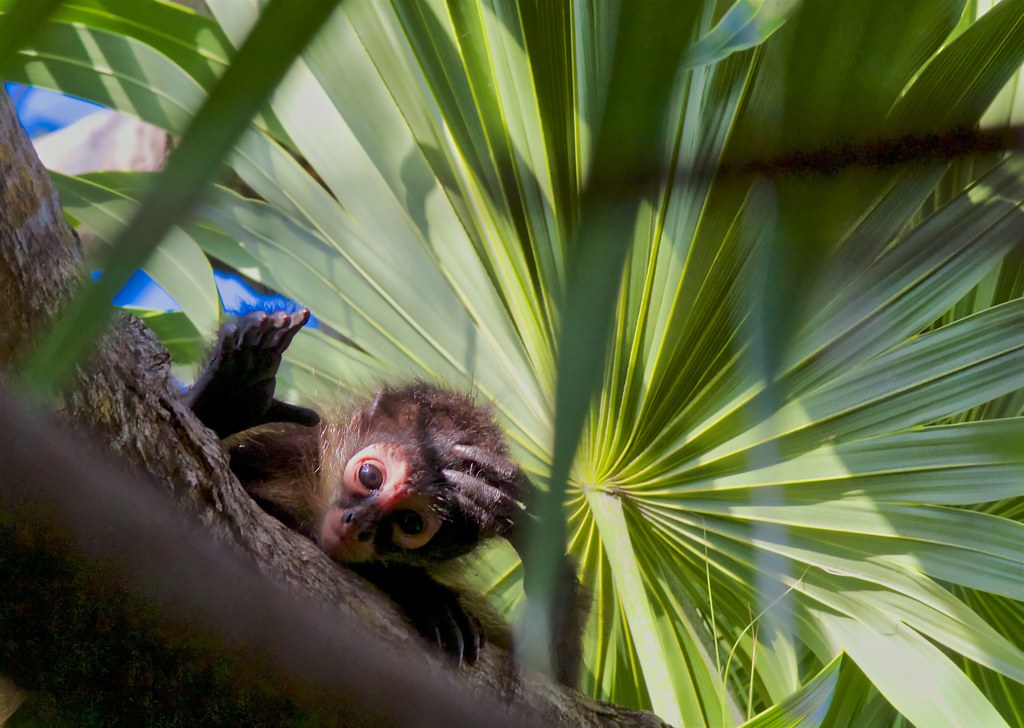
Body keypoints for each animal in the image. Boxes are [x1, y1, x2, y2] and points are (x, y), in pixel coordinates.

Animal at [184, 309, 583, 684]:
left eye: (410, 522)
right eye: (370, 476)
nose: (357, 522)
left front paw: (539, 539)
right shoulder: (290, 445)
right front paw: (230, 393)